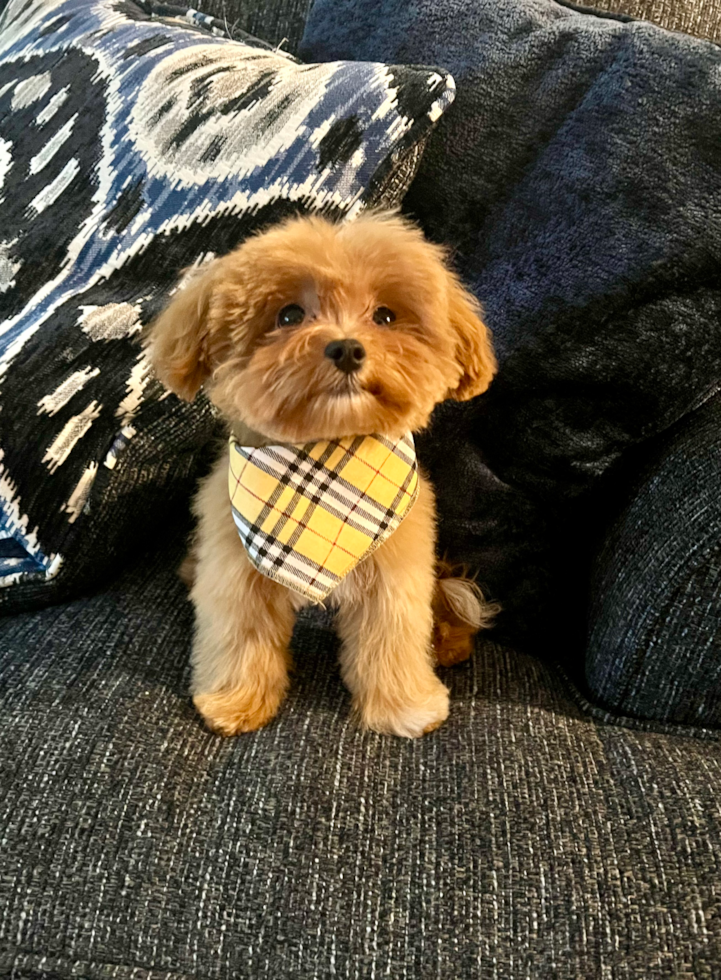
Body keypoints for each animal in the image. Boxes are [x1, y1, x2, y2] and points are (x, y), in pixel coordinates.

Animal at [145, 212, 496, 736]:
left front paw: (403, 707)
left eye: (385, 316)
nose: (347, 348)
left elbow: (391, 640)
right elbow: (239, 636)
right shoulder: (234, 572)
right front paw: (235, 700)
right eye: (289, 315)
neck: (322, 460)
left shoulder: (396, 574)